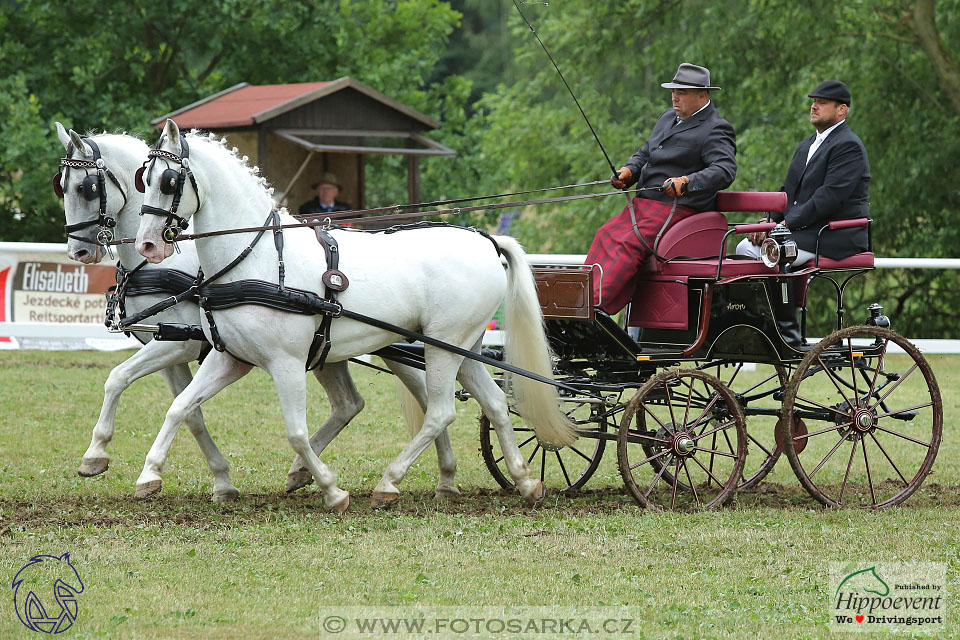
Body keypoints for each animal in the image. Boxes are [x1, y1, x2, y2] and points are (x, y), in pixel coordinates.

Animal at [57, 125, 462, 502]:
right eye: (61, 186)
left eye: (86, 188)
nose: (79, 252)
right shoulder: (173, 347)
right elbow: (182, 408)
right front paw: (217, 480)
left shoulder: (180, 344)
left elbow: (120, 379)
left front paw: (98, 453)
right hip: (336, 351)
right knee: (352, 403)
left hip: (404, 346)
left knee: (428, 399)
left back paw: (436, 475)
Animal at [135, 120, 576, 510]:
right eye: (144, 176)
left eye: (168, 181)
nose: (147, 244)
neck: (258, 257)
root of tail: (485, 239)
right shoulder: (230, 358)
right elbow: (181, 406)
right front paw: (149, 476)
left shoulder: (286, 363)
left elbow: (296, 433)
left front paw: (332, 490)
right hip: (463, 346)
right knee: (497, 403)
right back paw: (525, 481)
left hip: (444, 346)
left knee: (440, 412)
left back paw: (389, 482)